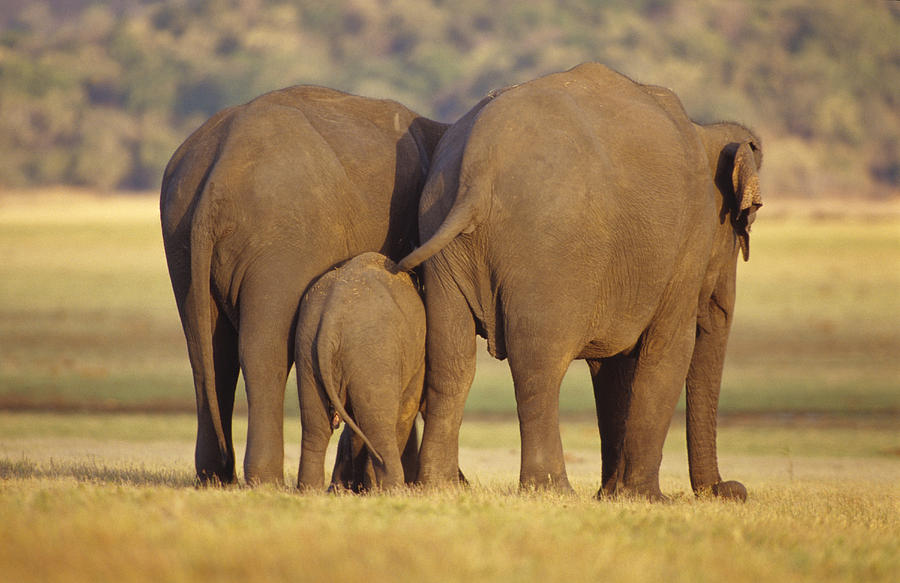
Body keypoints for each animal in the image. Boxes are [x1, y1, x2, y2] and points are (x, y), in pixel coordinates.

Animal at [294, 252, 424, 492]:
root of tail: (331, 319)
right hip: (373, 354)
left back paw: (309, 490)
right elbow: (407, 409)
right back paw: (392, 488)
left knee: (315, 427)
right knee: (380, 427)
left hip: (306, 350)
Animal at [400, 64, 760, 502]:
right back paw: (552, 489)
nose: (732, 489)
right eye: (740, 234)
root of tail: (477, 168)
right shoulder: (686, 248)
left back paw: (438, 487)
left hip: (441, 232)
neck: (703, 132)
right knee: (539, 365)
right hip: (547, 252)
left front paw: (612, 496)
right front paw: (647, 498)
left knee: (451, 359)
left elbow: (613, 369)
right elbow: (667, 351)